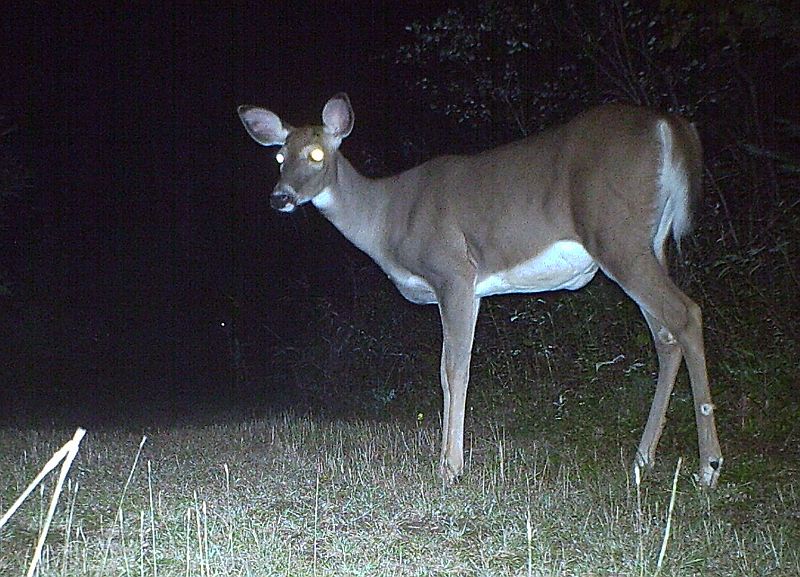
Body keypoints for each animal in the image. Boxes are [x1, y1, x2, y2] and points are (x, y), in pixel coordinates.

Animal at [239, 91, 724, 486]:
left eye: (317, 153)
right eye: (279, 157)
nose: (280, 197)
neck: (385, 217)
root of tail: (670, 126)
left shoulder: (453, 271)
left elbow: (456, 370)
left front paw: (450, 467)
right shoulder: (460, 290)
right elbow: (445, 372)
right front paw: (445, 458)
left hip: (616, 235)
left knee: (686, 314)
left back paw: (708, 466)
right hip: (650, 242)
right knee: (665, 336)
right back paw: (643, 459)